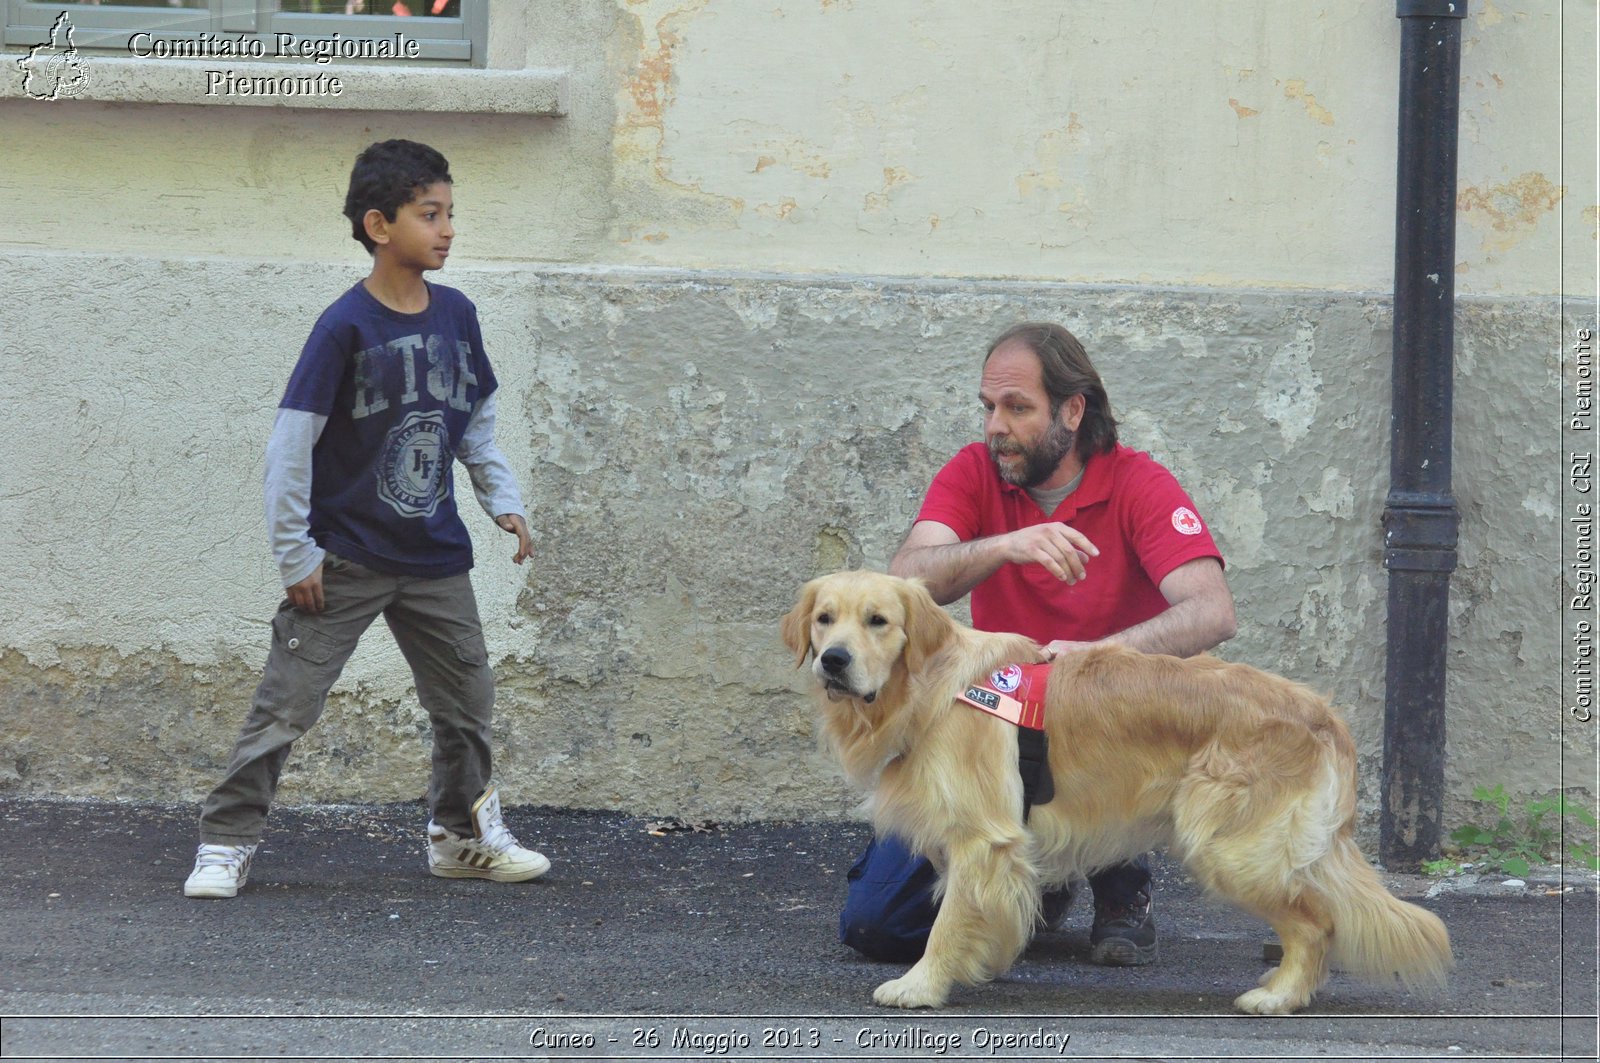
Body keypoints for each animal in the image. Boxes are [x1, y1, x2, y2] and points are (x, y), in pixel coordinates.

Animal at [780, 569, 1459, 1018]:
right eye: (825, 619)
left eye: (879, 621)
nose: (833, 661)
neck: (927, 689)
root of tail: (1323, 714)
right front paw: (985, 964)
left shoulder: (982, 838)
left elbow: (947, 925)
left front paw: (922, 986)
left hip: (1230, 848)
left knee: (1317, 923)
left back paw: (1279, 995)